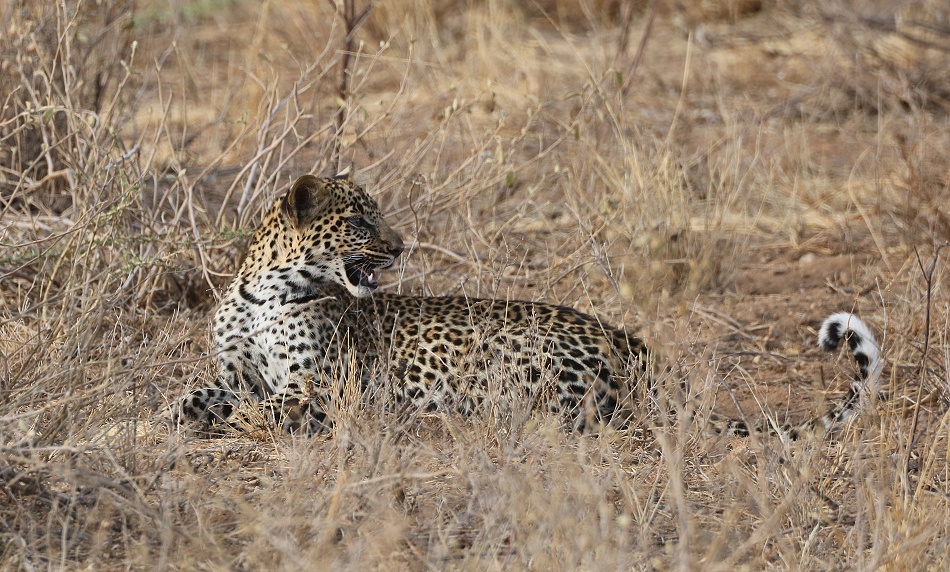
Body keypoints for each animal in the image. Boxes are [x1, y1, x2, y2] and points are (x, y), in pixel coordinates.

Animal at [178, 173, 882, 437]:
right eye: (359, 222)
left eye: (378, 219)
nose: (401, 246)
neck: (267, 291)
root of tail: (638, 348)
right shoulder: (236, 372)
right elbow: (200, 394)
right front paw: (188, 412)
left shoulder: (318, 385)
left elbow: (266, 407)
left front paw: (232, 420)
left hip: (523, 362)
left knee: (578, 416)